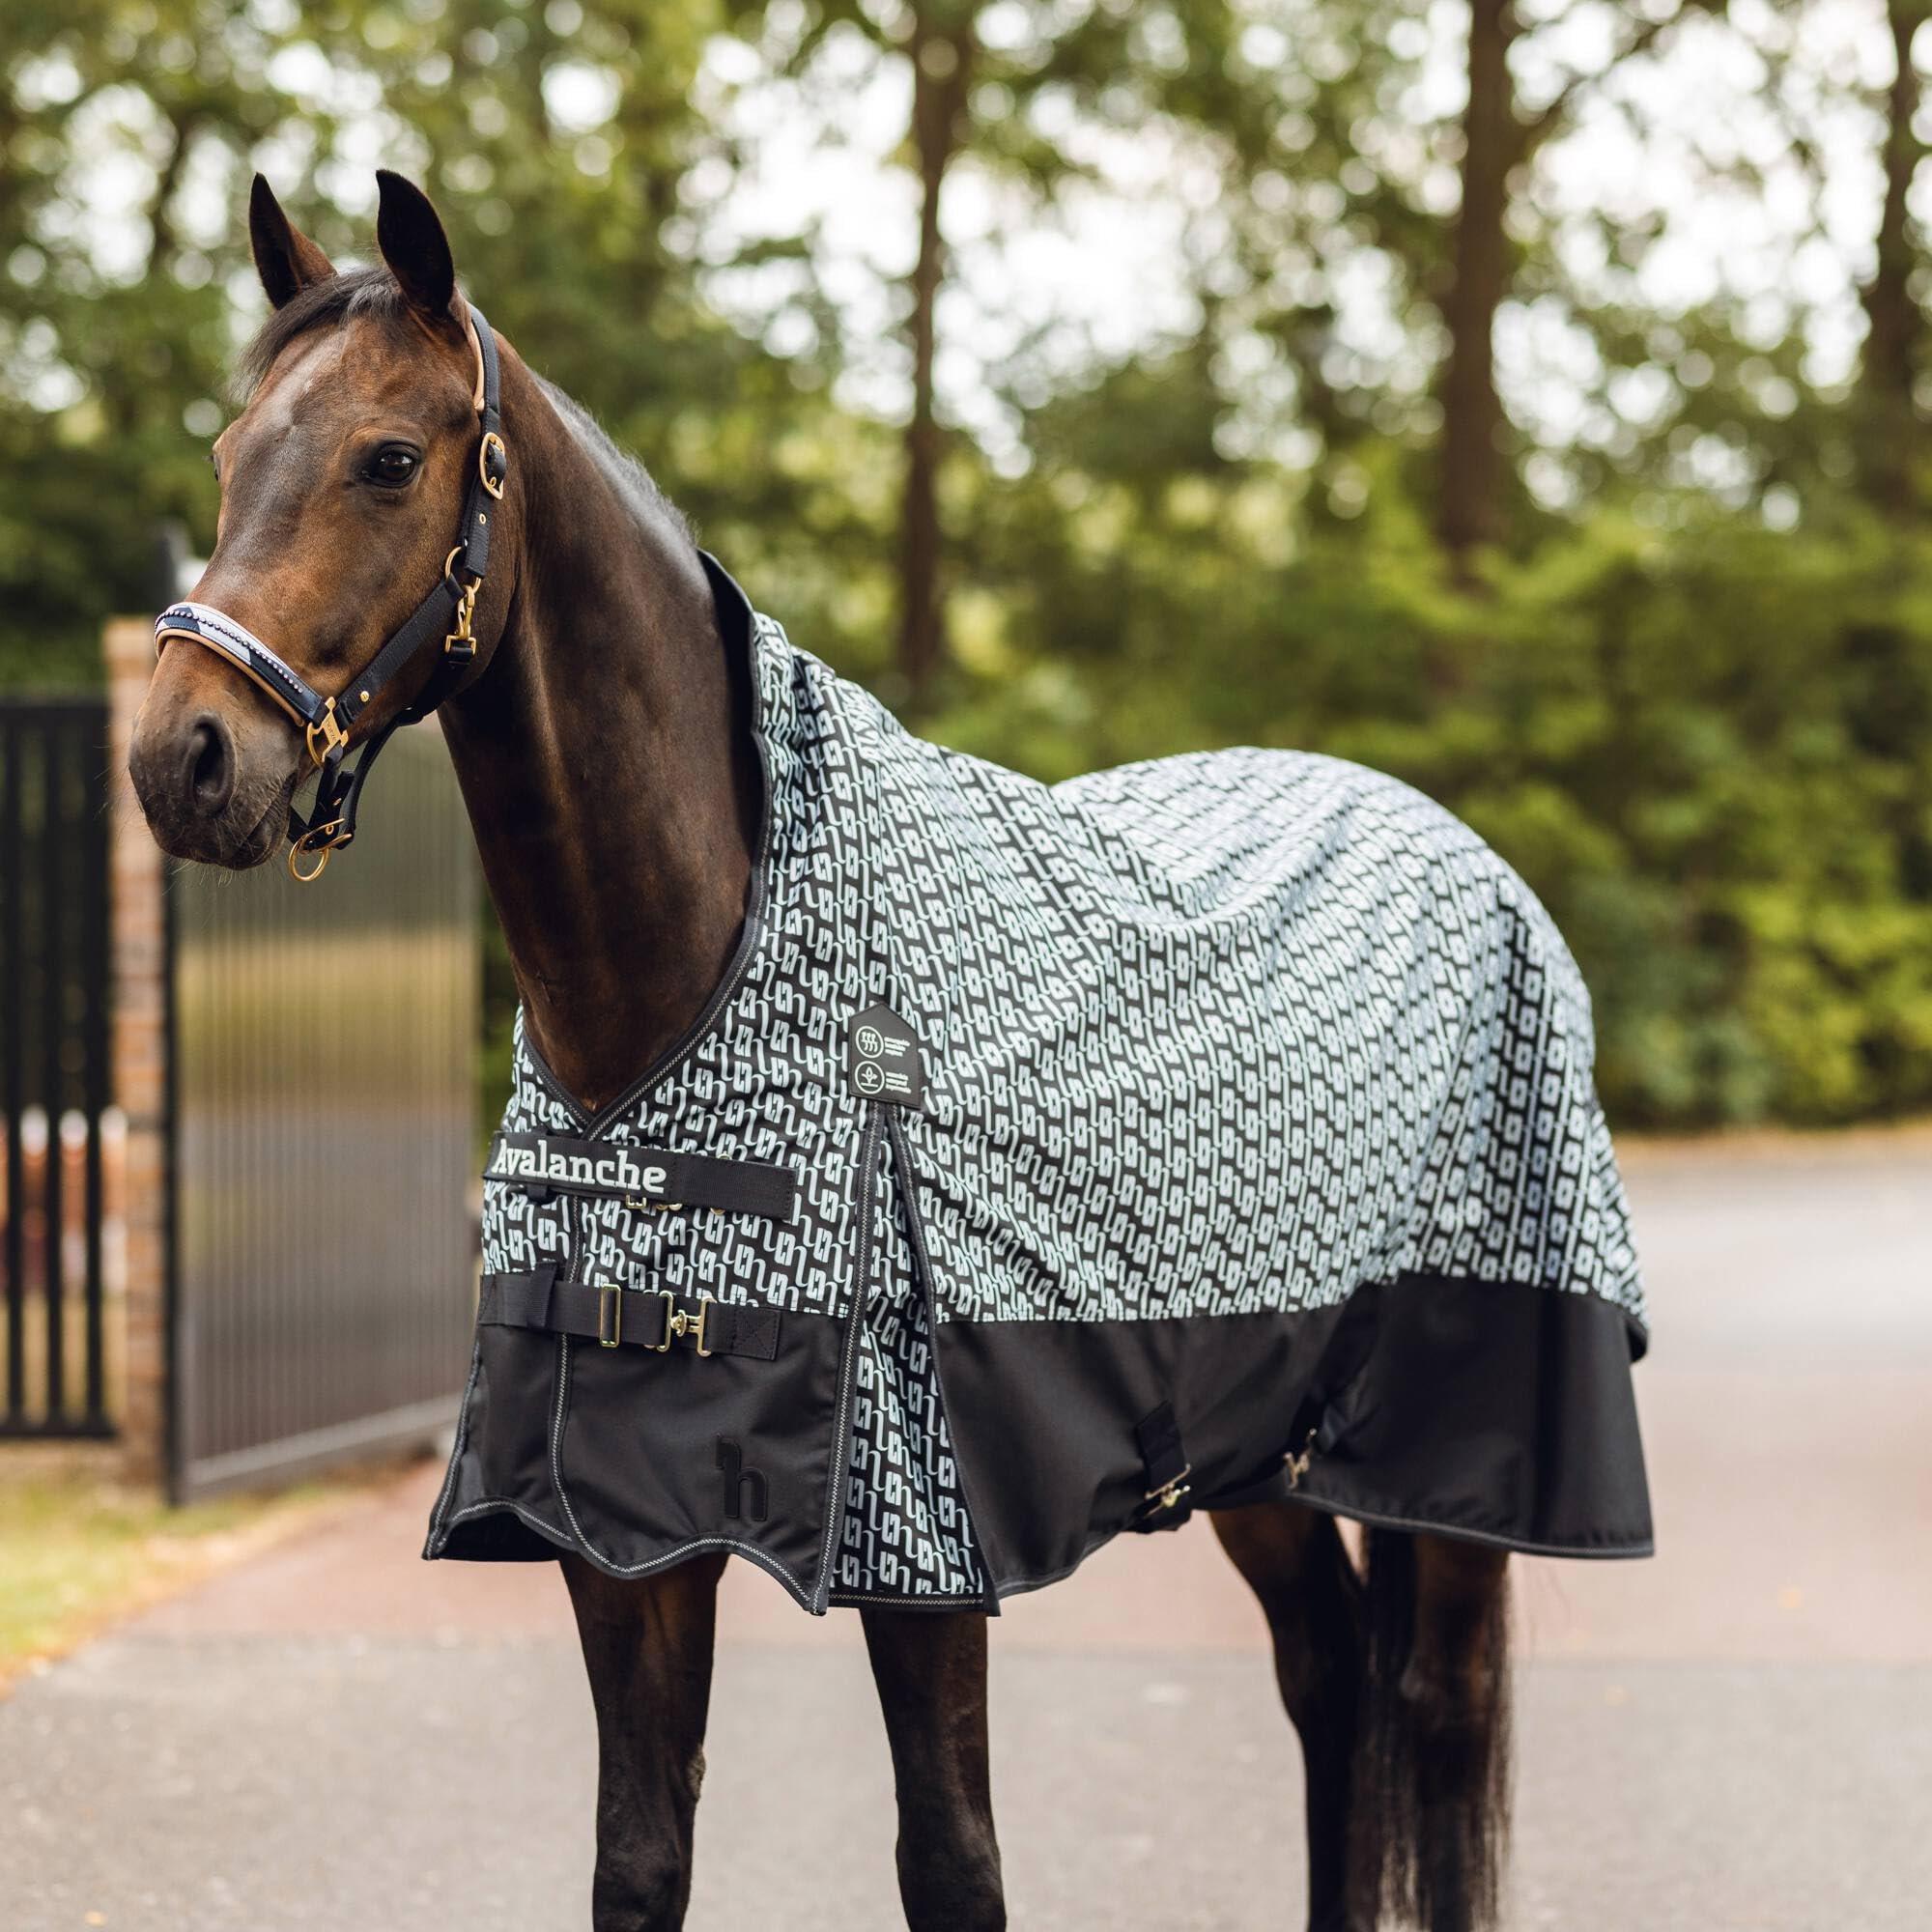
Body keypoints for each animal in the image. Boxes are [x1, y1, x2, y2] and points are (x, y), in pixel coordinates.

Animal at [129, 171, 1650, 1932]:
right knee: (1331, 1680)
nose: (182, 760)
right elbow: (639, 1858)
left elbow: (952, 1859)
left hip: (1460, 1463)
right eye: (230, 452)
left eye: (387, 458)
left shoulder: (923, 1554)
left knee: (1436, 1716)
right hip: (1256, 1451)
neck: (673, 1018)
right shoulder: (612, 1536)